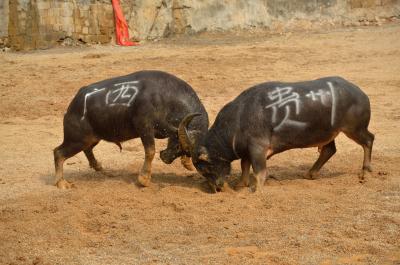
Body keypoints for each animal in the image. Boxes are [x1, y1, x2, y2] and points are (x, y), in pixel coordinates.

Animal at [54, 69, 209, 188]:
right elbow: (150, 151)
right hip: (77, 139)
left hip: (93, 138)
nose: (166, 159)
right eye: (178, 145)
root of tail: (73, 105)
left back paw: (100, 168)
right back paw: (61, 183)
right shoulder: (144, 127)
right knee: (59, 153)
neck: (166, 99)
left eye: (186, 151)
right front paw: (144, 179)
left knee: (87, 150)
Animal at [181, 76, 376, 192]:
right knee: (329, 150)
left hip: (354, 129)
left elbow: (259, 171)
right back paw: (310, 174)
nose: (217, 188)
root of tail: (361, 93)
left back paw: (365, 172)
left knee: (368, 140)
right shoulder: (247, 150)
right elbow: (244, 166)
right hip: (327, 133)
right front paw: (241, 185)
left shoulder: (258, 148)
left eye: (203, 166)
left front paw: (256, 190)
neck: (239, 118)